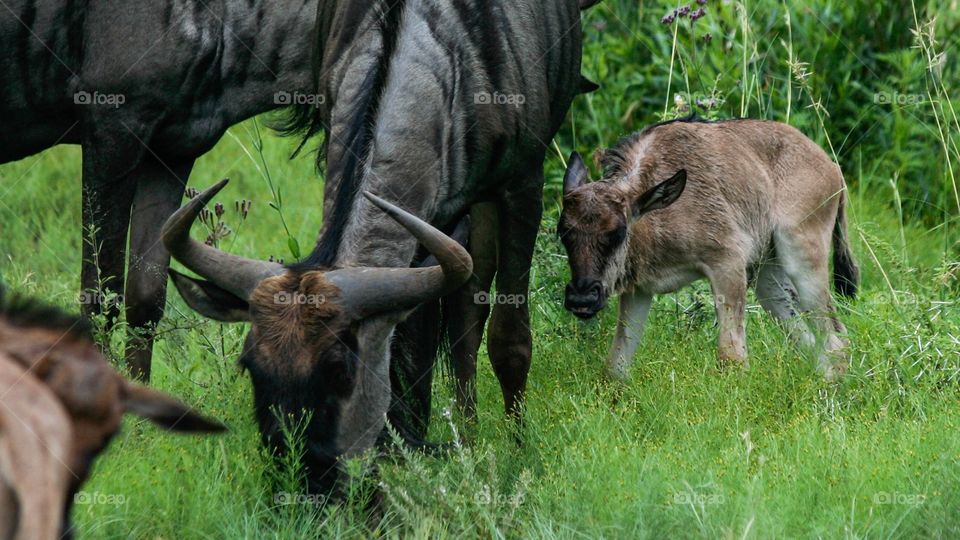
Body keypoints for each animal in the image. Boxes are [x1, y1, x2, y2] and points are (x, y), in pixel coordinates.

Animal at [163, 0, 595, 495]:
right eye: (250, 367)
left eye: (340, 372)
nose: (303, 485)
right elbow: (416, 345)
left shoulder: (522, 185)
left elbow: (510, 338)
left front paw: (520, 455)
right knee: (464, 313)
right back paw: (464, 434)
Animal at [558, 117, 859, 381]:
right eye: (563, 233)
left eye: (618, 232)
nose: (581, 298)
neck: (659, 211)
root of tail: (833, 168)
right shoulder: (639, 290)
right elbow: (616, 365)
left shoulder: (727, 264)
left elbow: (731, 357)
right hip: (769, 281)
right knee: (813, 341)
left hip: (802, 258)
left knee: (836, 341)